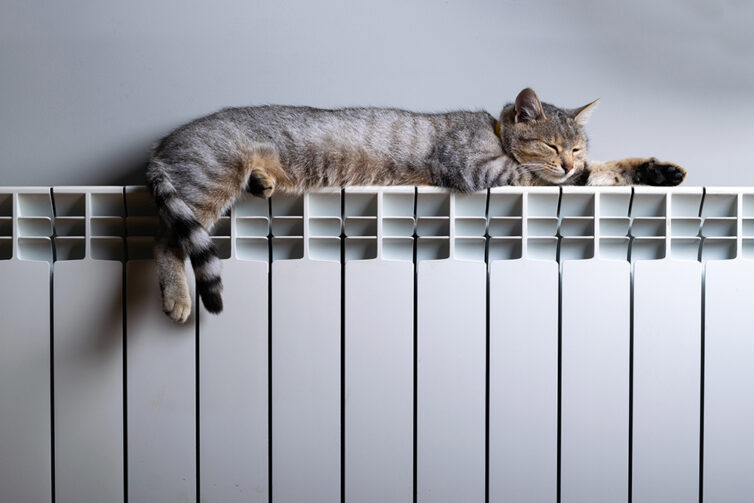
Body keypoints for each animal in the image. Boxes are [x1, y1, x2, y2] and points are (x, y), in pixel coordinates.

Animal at [145, 86, 680, 322]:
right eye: (552, 147)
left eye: (578, 148)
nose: (569, 164)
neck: (493, 132)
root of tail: (161, 145)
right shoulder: (485, 172)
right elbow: (566, 180)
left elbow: (605, 171)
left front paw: (657, 171)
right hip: (208, 181)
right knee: (166, 242)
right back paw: (177, 299)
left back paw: (264, 180)